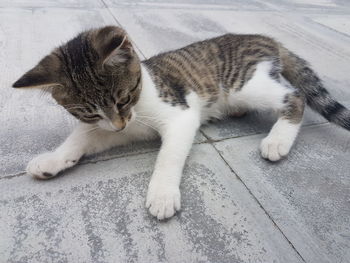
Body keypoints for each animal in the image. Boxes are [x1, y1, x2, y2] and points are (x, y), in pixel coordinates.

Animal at [13, 25, 350, 221]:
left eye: (123, 98)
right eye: (88, 112)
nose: (120, 123)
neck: (141, 97)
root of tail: (264, 37)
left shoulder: (180, 114)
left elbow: (169, 156)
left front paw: (162, 194)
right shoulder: (117, 129)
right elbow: (82, 136)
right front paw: (53, 159)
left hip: (244, 83)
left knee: (295, 95)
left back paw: (278, 140)